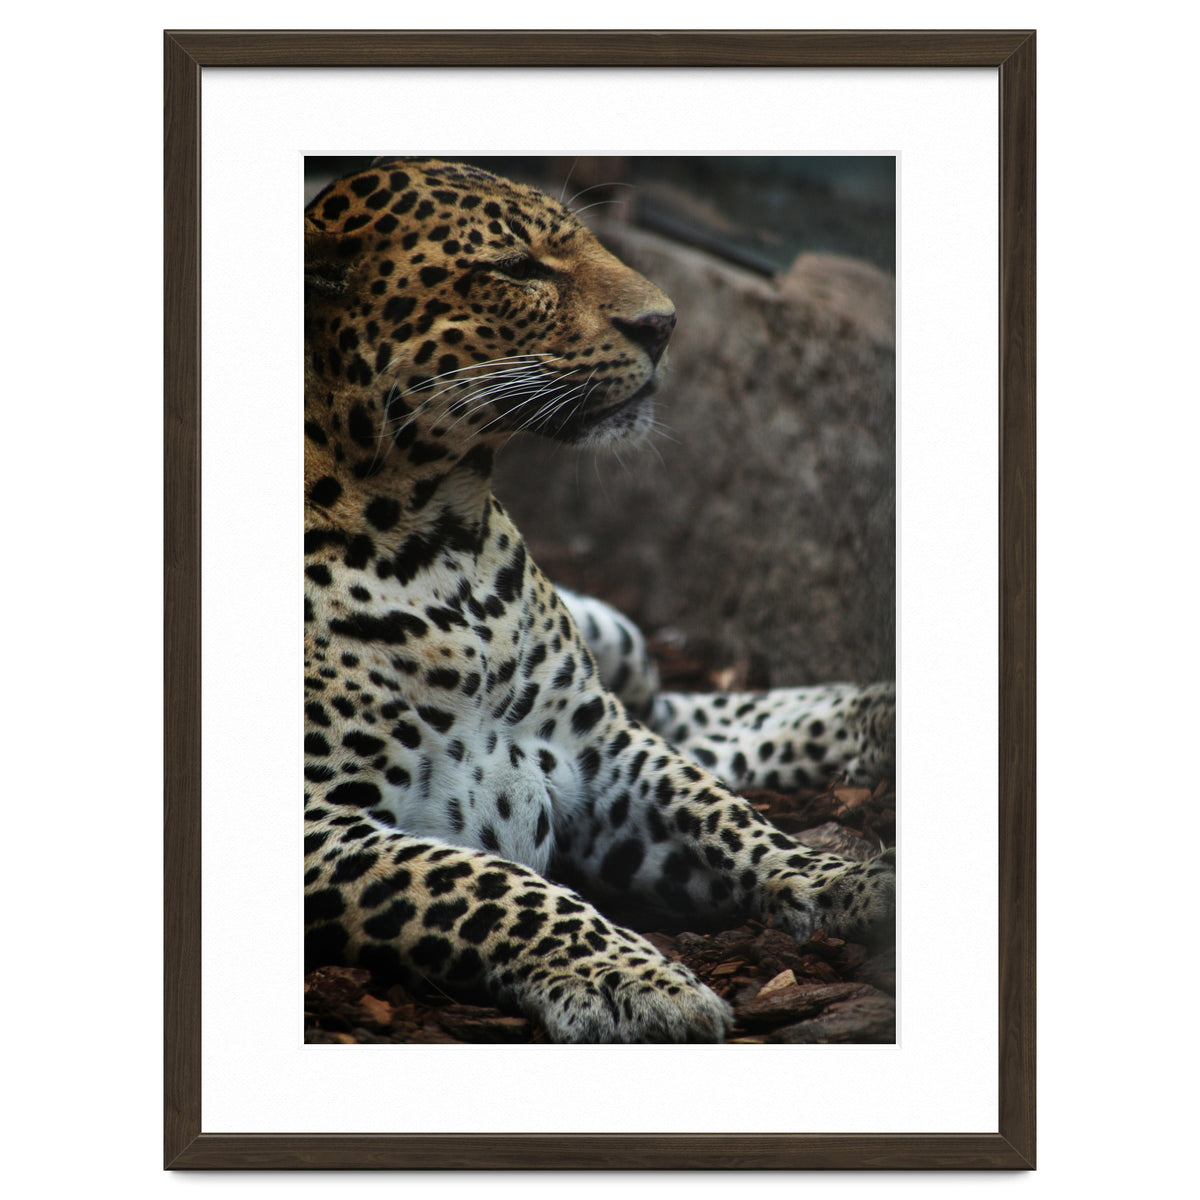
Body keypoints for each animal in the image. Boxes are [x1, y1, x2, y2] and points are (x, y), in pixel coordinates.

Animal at [303, 158, 896, 1043]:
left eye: (582, 241)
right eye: (517, 268)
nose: (666, 324)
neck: (439, 539)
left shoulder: (598, 746)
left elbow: (723, 814)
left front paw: (847, 881)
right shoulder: (319, 827)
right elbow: (490, 885)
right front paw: (635, 981)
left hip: (618, 650)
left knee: (680, 714)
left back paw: (877, 714)